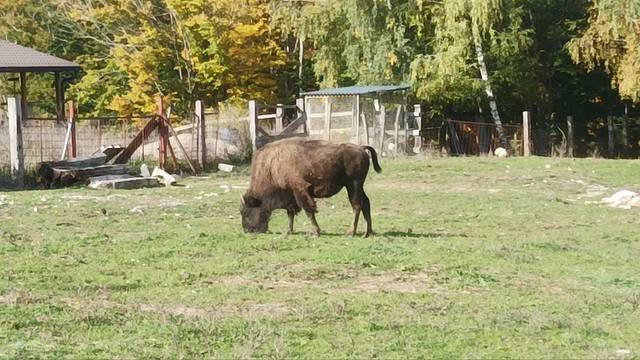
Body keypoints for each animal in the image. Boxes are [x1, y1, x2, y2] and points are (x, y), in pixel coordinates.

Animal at [240, 139, 380, 238]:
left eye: (246, 212)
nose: (247, 230)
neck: (272, 166)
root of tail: (360, 147)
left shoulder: (300, 191)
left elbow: (308, 211)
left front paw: (315, 232)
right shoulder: (291, 196)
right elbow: (290, 213)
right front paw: (289, 231)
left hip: (353, 185)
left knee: (357, 205)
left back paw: (351, 232)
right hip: (358, 186)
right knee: (366, 203)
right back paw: (367, 233)